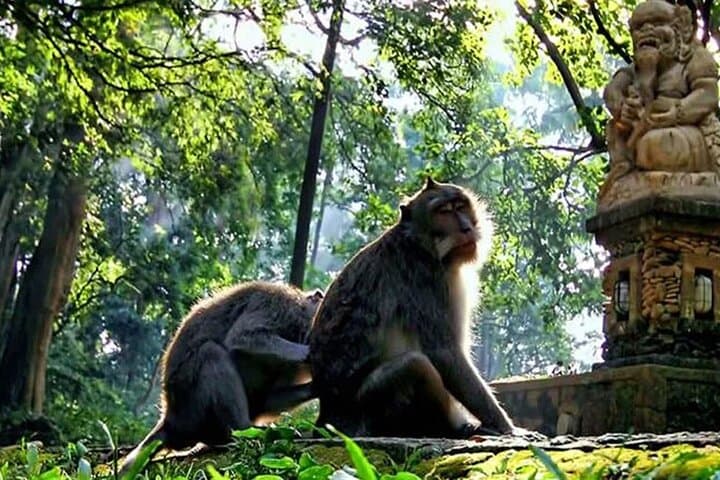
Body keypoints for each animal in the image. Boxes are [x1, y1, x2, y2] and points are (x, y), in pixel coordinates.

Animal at [120, 281, 323, 473]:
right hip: (192, 407)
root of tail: (171, 420)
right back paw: (245, 430)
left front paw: (316, 387)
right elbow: (243, 337)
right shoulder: (278, 304)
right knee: (211, 353)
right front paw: (306, 352)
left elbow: (266, 399)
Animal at [309, 178, 530, 439]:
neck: (422, 245)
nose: (466, 228)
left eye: (460, 206)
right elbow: (444, 353)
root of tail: (325, 420)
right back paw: (451, 429)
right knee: (414, 365)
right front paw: (507, 428)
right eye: (443, 212)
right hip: (368, 412)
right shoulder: (426, 278)